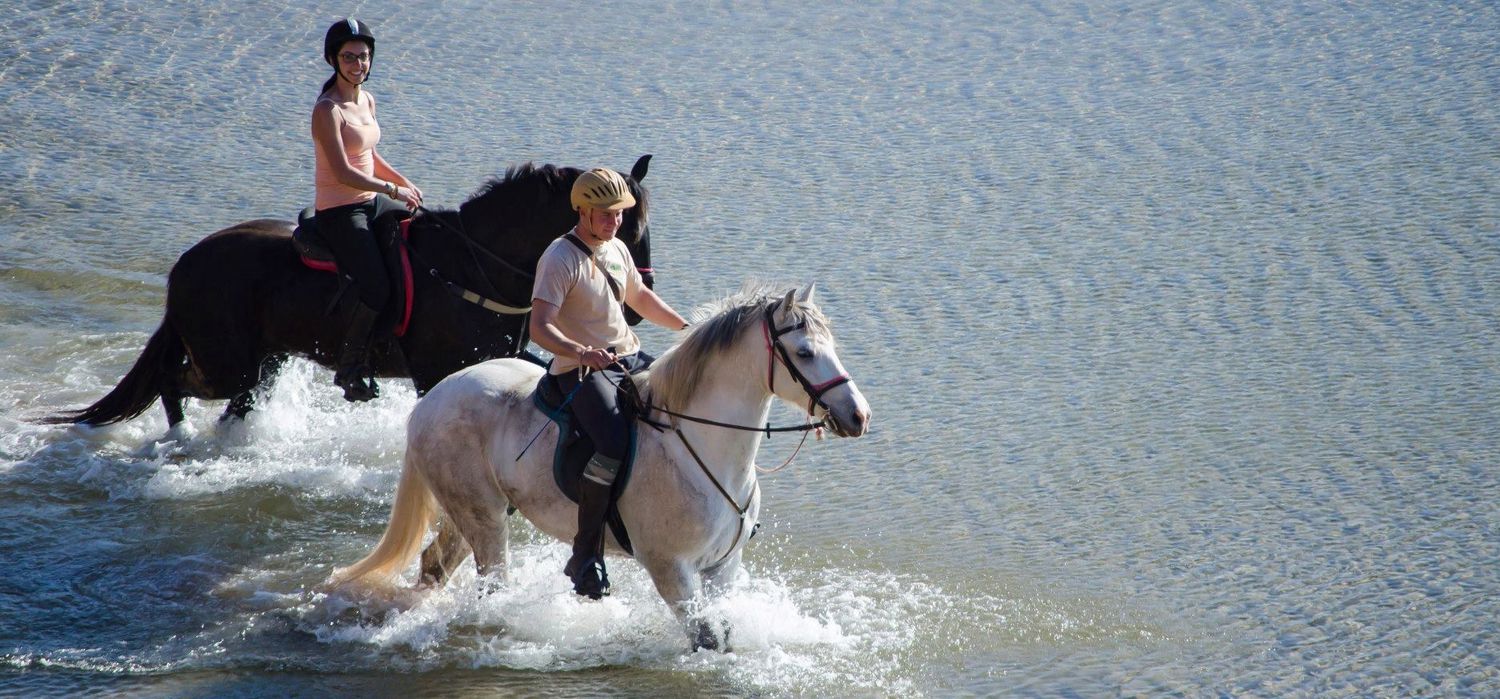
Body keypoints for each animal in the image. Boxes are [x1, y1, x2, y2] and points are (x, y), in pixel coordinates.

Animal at [45, 156, 657, 429]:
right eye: (624, 228)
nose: (636, 306)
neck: (471, 263)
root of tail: (185, 265)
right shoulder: (439, 371)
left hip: (260, 363)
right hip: (225, 365)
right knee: (173, 386)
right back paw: (180, 443)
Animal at [328, 282, 870, 651]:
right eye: (805, 352)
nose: (858, 416)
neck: (700, 446)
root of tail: (431, 399)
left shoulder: (722, 568)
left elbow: (724, 633)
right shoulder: (672, 570)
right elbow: (707, 639)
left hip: (471, 514)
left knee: (435, 567)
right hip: (482, 518)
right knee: (489, 582)